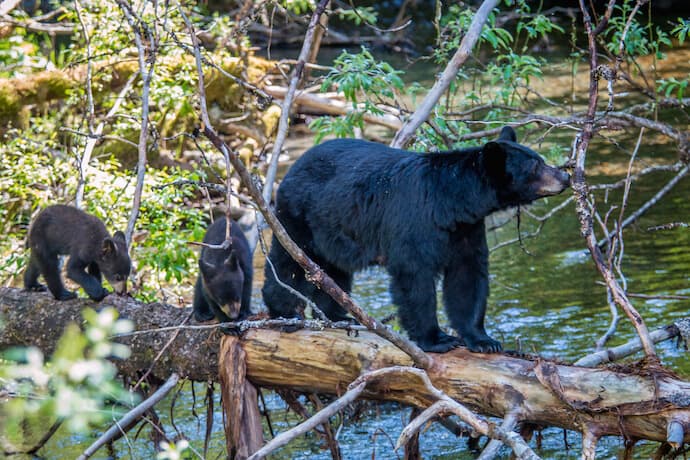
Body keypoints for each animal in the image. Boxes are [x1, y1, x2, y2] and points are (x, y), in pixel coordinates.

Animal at [260, 126, 568, 352]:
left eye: (539, 159)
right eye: (535, 165)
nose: (564, 176)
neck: (452, 204)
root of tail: (291, 169)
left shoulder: (466, 230)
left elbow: (467, 277)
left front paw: (483, 340)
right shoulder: (415, 223)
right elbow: (414, 278)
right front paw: (437, 339)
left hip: (334, 229)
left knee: (334, 272)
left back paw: (339, 316)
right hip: (299, 219)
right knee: (288, 265)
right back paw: (287, 314)